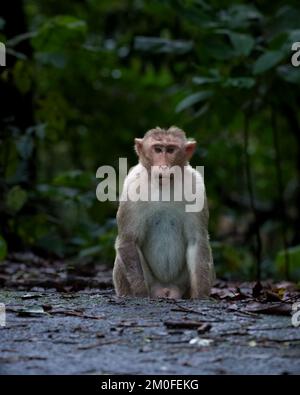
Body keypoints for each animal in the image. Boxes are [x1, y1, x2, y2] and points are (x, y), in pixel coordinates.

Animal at [112, 125, 213, 298]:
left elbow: (197, 240)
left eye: (171, 150)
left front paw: (200, 296)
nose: (163, 166)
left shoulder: (197, 186)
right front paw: (140, 293)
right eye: (158, 149)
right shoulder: (132, 186)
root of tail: (166, 288)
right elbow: (129, 240)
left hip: (181, 284)